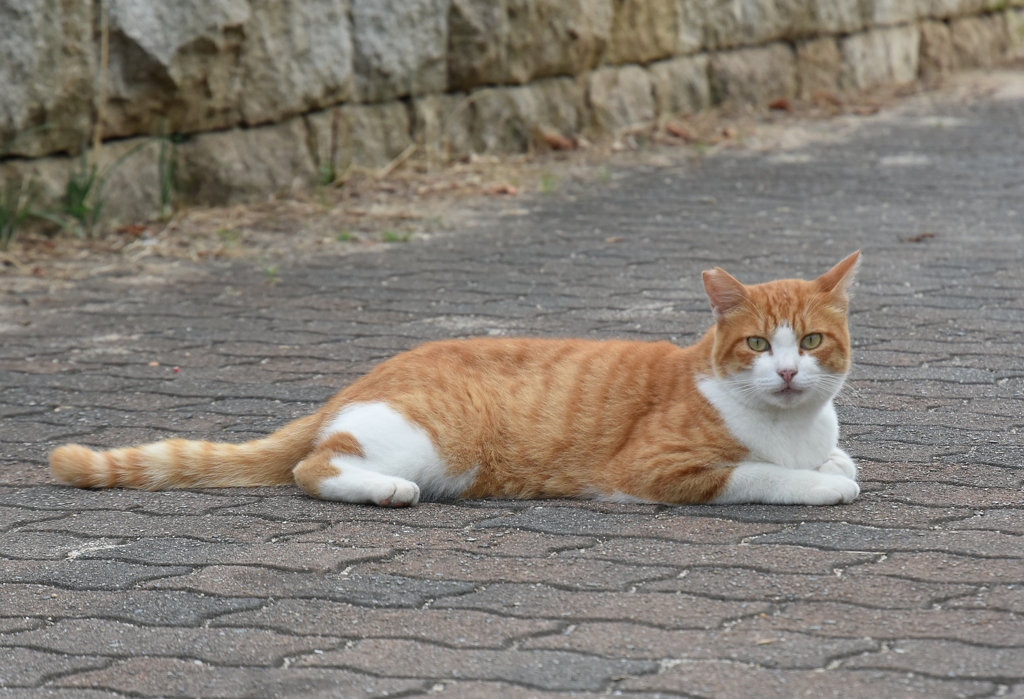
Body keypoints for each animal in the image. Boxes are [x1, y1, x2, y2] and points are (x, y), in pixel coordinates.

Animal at [49, 251, 864, 507]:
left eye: (811, 341)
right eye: (756, 343)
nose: (786, 370)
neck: (791, 424)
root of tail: (355, 381)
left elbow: (840, 455)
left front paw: (833, 462)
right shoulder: (659, 469)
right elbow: (765, 474)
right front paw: (819, 482)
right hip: (436, 442)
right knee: (314, 466)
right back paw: (384, 489)